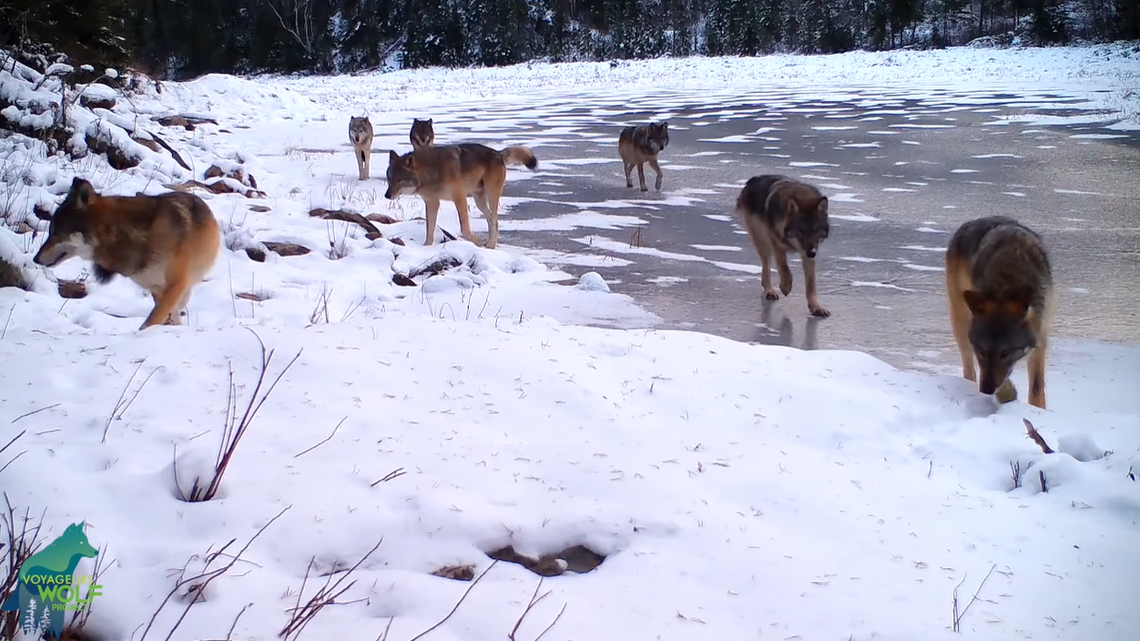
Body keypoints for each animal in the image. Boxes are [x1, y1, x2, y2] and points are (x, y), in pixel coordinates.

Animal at [32, 177, 222, 330]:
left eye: (56, 232)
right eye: (51, 231)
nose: (35, 258)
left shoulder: (176, 284)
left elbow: (152, 320)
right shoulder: (156, 288)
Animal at [384, 143, 538, 250]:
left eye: (400, 180)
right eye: (389, 178)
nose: (387, 195)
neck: (432, 171)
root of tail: (498, 153)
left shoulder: (459, 198)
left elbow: (464, 229)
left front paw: (477, 242)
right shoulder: (432, 202)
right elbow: (429, 230)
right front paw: (426, 247)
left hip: (491, 196)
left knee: (495, 221)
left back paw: (490, 245)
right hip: (479, 201)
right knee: (490, 220)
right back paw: (490, 244)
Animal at [736, 175, 832, 317]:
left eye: (816, 231)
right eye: (802, 231)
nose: (812, 253)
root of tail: (752, 180)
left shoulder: (808, 253)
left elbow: (811, 284)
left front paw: (816, 307)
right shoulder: (776, 243)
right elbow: (784, 267)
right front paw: (785, 287)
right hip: (762, 242)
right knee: (766, 265)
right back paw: (769, 290)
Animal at [944, 215, 1053, 409]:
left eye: (1005, 353)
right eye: (981, 352)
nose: (986, 390)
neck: (1006, 286)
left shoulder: (1040, 335)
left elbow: (1036, 386)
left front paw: (1038, 410)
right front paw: (1007, 395)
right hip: (961, 323)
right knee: (968, 368)